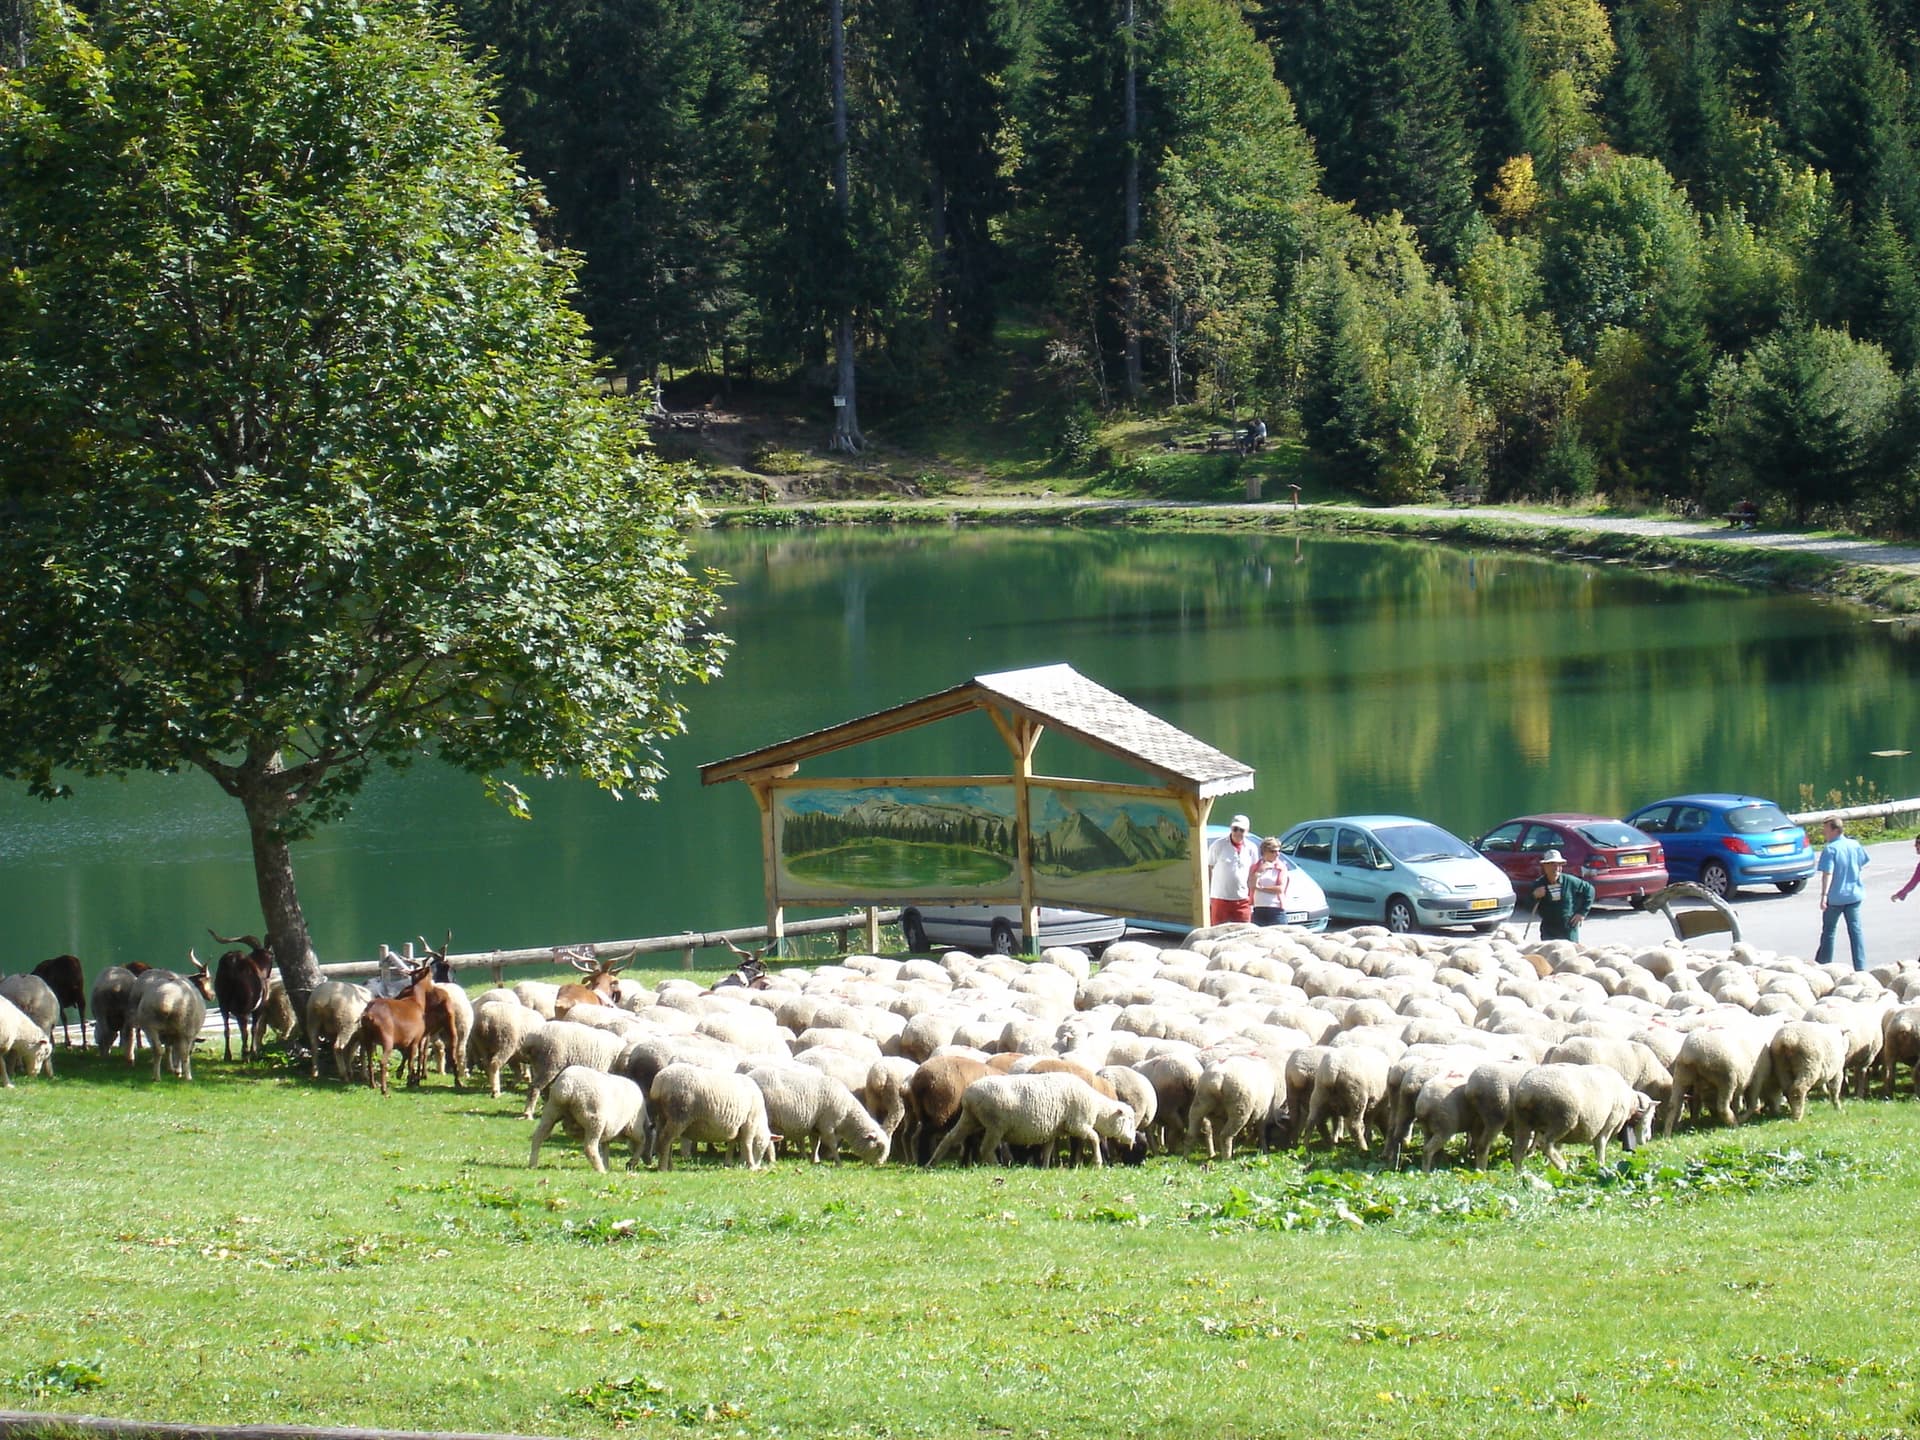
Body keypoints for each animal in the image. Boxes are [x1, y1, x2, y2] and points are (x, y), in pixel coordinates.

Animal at [929, 1075, 1136, 1175]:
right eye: (1130, 1121)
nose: (1132, 1141)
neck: (1097, 1106)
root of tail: (968, 1095)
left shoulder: (1054, 1130)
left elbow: (1049, 1148)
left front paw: (1045, 1166)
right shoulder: (1078, 1124)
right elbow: (1094, 1137)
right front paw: (1097, 1162)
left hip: (970, 1118)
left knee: (949, 1138)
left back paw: (932, 1164)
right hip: (996, 1124)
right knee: (986, 1148)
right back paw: (997, 1167)